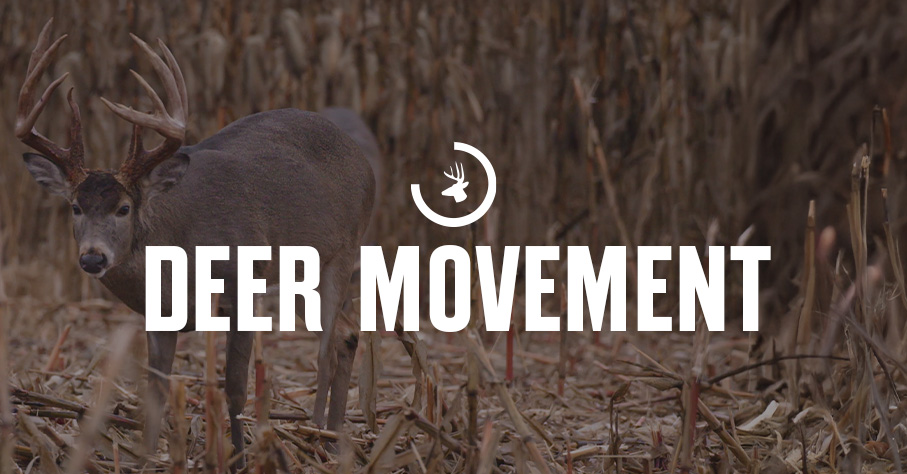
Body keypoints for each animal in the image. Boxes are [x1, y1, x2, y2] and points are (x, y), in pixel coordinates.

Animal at [14, 20, 375, 466]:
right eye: (75, 207)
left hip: (343, 249)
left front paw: (239, 458)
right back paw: (335, 436)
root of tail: (363, 159)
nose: (93, 258)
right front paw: (148, 458)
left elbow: (234, 385)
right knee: (348, 333)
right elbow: (155, 389)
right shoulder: (159, 313)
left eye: (124, 208)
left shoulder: (243, 281)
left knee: (325, 348)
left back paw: (316, 433)